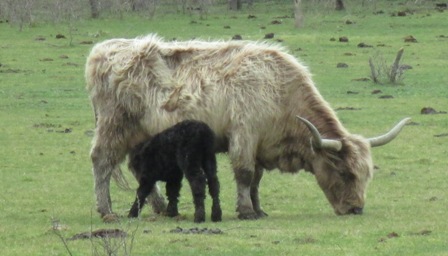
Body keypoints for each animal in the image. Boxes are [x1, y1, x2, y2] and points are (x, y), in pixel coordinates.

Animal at [85, 34, 410, 222]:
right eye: (344, 172)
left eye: (366, 174)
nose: (356, 208)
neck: (280, 92)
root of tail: (104, 49)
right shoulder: (244, 135)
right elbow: (244, 174)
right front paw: (245, 211)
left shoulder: (261, 145)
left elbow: (256, 180)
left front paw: (258, 208)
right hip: (114, 127)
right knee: (102, 161)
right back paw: (107, 211)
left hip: (142, 137)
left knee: (138, 168)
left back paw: (160, 207)